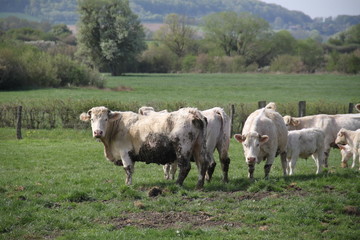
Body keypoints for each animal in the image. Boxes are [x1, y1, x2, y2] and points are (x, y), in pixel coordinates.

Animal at [79, 106, 208, 188]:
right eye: (92, 119)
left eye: (105, 119)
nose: (98, 132)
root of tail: (193, 112)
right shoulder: (131, 155)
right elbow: (131, 169)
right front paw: (128, 182)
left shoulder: (124, 152)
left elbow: (127, 169)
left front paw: (128, 185)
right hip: (199, 146)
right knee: (203, 164)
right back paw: (199, 185)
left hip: (183, 148)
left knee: (185, 167)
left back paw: (177, 184)